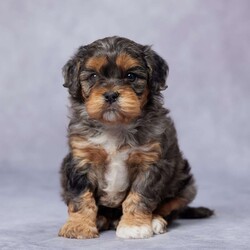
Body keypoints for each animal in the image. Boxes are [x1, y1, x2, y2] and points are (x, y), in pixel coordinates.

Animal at [58, 36, 213, 239]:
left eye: (131, 76)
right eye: (93, 77)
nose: (111, 95)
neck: (115, 126)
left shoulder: (150, 162)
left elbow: (139, 195)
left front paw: (134, 226)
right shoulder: (81, 159)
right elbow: (80, 196)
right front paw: (79, 226)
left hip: (186, 187)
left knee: (170, 208)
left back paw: (155, 221)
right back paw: (101, 219)